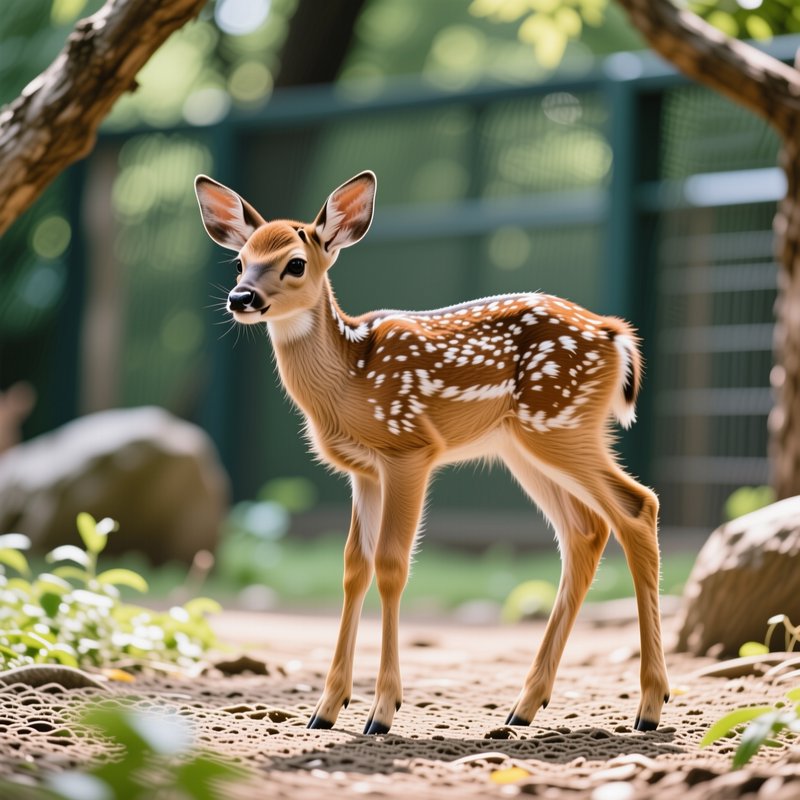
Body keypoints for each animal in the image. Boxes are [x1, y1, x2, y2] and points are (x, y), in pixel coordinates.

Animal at [194, 170, 670, 736]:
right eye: (239, 260)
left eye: (295, 262)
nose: (240, 297)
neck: (347, 381)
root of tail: (616, 336)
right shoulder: (362, 471)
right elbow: (354, 567)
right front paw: (326, 709)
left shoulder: (408, 448)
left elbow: (392, 565)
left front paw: (381, 712)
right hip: (525, 444)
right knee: (585, 530)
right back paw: (526, 704)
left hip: (561, 423)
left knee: (636, 506)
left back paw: (649, 707)